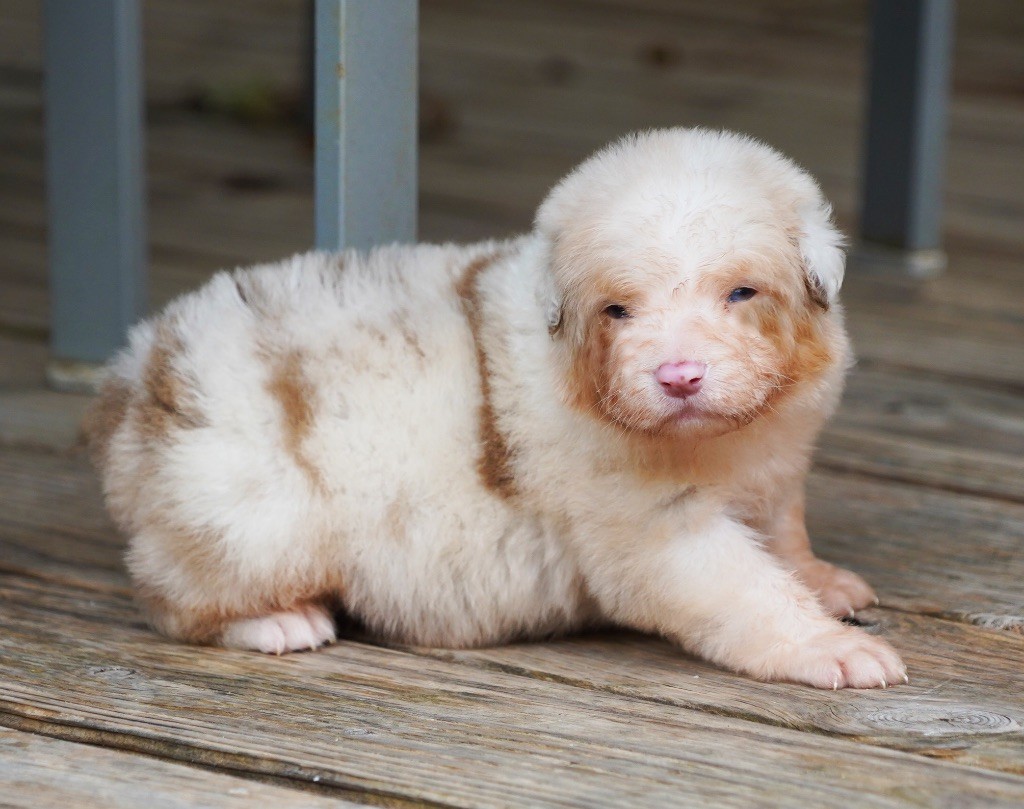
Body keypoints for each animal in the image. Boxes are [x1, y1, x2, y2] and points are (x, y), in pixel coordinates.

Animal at [86, 128, 905, 692]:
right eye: (617, 310)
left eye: (741, 292)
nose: (678, 376)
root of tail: (138, 372)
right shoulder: (661, 529)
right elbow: (750, 588)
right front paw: (834, 647)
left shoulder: (774, 467)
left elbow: (783, 535)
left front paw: (824, 582)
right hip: (250, 516)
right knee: (172, 597)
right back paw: (280, 620)